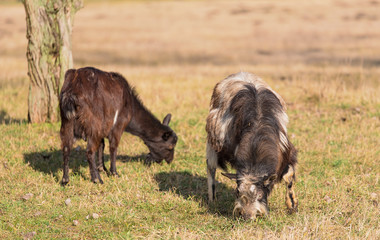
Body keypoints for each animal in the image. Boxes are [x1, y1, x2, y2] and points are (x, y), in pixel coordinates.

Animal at [206, 72, 298, 220]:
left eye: (260, 194)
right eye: (237, 192)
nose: (247, 216)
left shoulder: (287, 154)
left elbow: (288, 177)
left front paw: (292, 206)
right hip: (212, 144)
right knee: (211, 168)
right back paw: (212, 200)